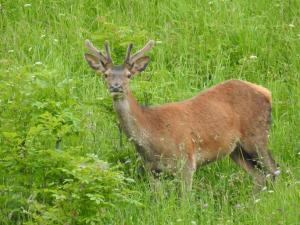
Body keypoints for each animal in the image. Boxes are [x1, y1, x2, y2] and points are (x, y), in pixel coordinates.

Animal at [83, 39, 280, 191]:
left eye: (129, 75)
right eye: (105, 75)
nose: (116, 86)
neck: (153, 134)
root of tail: (267, 92)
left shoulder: (187, 160)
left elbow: (185, 201)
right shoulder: (152, 169)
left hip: (257, 136)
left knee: (274, 169)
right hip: (236, 149)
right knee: (260, 177)